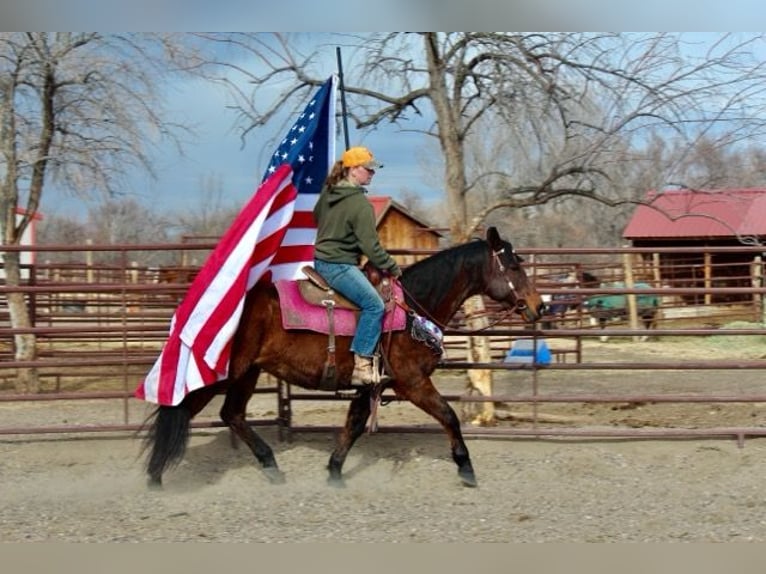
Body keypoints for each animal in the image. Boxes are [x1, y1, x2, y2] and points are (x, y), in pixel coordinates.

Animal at [140, 227, 544, 488]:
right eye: (513, 266)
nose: (538, 306)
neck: (412, 307)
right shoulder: (412, 382)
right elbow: (449, 416)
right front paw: (466, 468)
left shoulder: (371, 386)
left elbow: (353, 424)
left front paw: (334, 471)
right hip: (223, 374)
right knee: (184, 409)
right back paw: (156, 474)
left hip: (246, 374)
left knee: (231, 414)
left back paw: (270, 467)